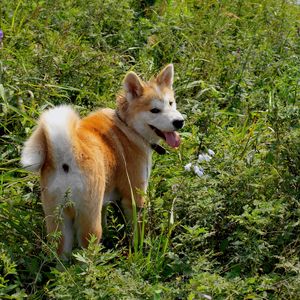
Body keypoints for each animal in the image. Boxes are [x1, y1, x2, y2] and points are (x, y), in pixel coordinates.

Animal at [21, 64, 184, 256]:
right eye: (155, 110)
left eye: (171, 103)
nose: (179, 121)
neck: (127, 127)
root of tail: (66, 155)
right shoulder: (134, 199)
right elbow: (137, 230)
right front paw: (139, 249)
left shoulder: (104, 200)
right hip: (89, 222)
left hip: (58, 221)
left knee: (61, 254)